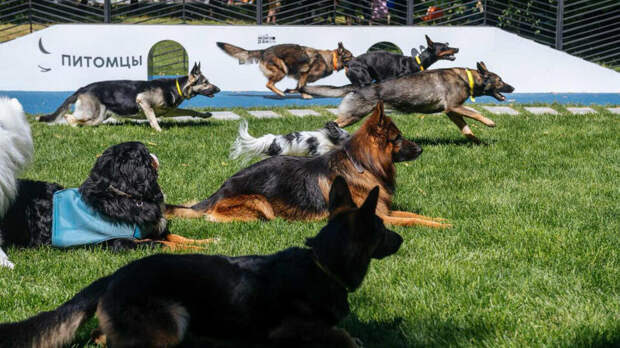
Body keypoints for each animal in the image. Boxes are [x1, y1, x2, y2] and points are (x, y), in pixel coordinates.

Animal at [0, 177, 402, 348]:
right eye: (383, 229)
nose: (401, 240)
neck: (321, 264)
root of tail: (115, 275)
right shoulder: (288, 331)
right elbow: (345, 337)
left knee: (103, 337)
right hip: (173, 322)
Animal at [37, 62, 220, 132]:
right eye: (205, 82)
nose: (218, 89)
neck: (176, 87)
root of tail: (83, 88)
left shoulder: (170, 111)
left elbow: (190, 111)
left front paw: (205, 115)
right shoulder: (143, 101)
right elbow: (153, 119)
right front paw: (159, 131)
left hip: (100, 117)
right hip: (93, 114)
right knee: (69, 117)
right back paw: (74, 125)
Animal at [218, 42, 354, 99]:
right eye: (351, 56)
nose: (357, 59)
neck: (330, 59)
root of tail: (264, 50)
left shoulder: (301, 77)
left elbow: (299, 86)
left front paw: (292, 90)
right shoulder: (305, 74)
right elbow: (301, 86)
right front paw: (305, 95)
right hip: (282, 71)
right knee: (268, 84)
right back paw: (280, 93)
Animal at [300, 61, 512, 143]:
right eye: (500, 80)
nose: (512, 87)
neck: (467, 78)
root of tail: (357, 86)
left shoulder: (451, 111)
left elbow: (466, 128)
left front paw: (476, 141)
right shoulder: (454, 107)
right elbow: (476, 113)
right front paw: (490, 122)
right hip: (354, 115)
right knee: (330, 124)